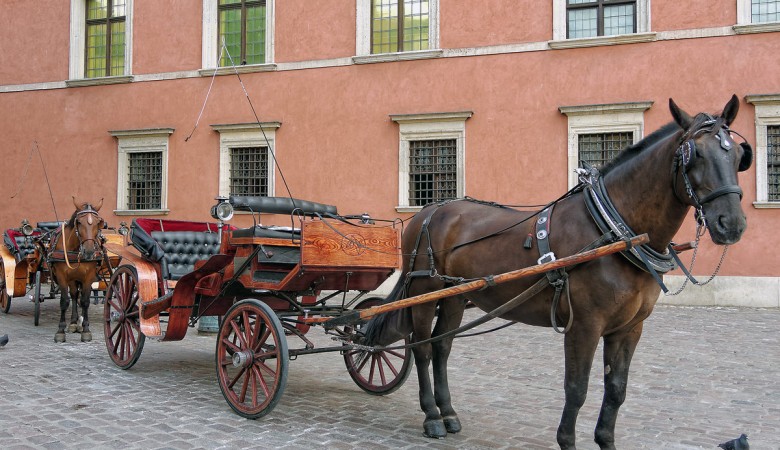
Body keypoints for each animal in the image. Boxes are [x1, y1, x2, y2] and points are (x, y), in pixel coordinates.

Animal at [50, 199, 105, 342]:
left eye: (98, 223)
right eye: (79, 222)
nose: (89, 251)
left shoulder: (88, 277)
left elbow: (85, 301)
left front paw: (86, 329)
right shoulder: (62, 276)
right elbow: (65, 301)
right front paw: (60, 331)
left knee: (78, 297)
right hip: (71, 279)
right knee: (74, 295)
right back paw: (74, 322)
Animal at [362, 96, 752, 448]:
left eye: (737, 155)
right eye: (694, 154)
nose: (731, 224)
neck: (612, 229)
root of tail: (428, 212)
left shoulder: (629, 328)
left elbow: (616, 390)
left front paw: (605, 440)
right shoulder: (584, 325)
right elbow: (576, 388)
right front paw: (567, 440)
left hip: (456, 296)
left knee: (441, 346)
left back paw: (448, 412)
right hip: (424, 292)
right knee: (422, 349)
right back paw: (431, 415)